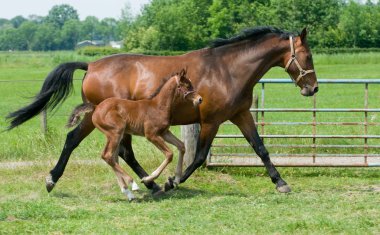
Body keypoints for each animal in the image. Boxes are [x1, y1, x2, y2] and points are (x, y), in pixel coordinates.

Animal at [66, 70, 202, 200]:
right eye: (187, 85)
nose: (200, 99)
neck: (159, 106)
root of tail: (96, 107)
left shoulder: (164, 133)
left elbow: (181, 146)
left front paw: (177, 179)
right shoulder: (151, 135)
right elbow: (169, 154)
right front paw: (148, 178)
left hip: (116, 135)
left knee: (112, 158)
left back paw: (128, 193)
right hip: (116, 132)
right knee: (107, 156)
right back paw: (133, 185)